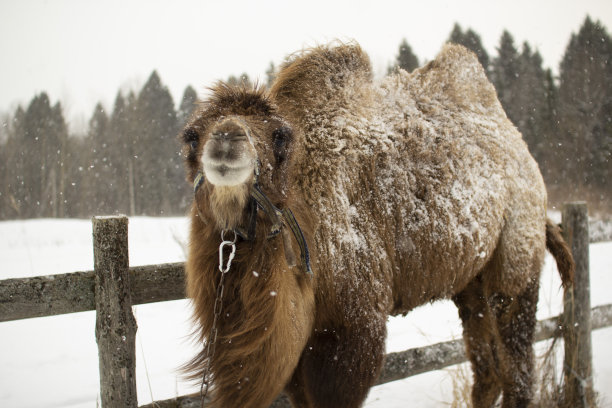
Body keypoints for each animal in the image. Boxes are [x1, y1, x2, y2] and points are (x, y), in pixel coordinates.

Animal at [180, 42, 572, 408]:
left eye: (279, 135)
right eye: (190, 135)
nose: (227, 139)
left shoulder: (353, 328)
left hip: (517, 250)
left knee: (517, 364)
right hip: (471, 282)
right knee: (487, 368)